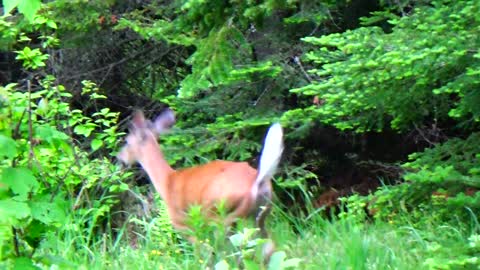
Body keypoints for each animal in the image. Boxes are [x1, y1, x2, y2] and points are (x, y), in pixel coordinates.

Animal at [116, 109, 284, 260]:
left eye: (127, 141)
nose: (119, 158)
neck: (167, 181)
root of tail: (257, 181)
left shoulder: (183, 223)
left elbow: (203, 253)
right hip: (259, 215)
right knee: (268, 247)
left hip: (222, 215)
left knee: (230, 252)